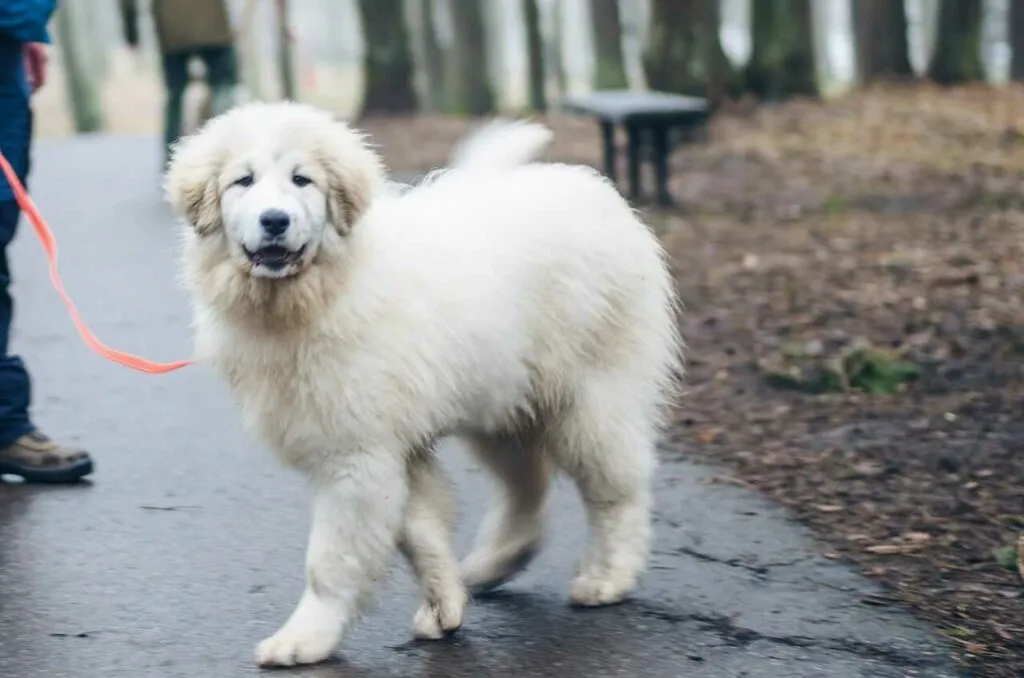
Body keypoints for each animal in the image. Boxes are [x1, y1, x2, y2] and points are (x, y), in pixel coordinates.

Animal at [163, 102, 684, 667]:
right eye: (244, 181)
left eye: (302, 180)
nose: (274, 220)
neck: (324, 291)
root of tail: (596, 192)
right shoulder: (392, 446)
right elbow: (420, 531)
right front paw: (445, 607)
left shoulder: (356, 455)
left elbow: (332, 559)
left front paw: (304, 639)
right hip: (501, 400)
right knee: (527, 485)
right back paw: (491, 564)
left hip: (588, 397)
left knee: (617, 488)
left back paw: (608, 577)